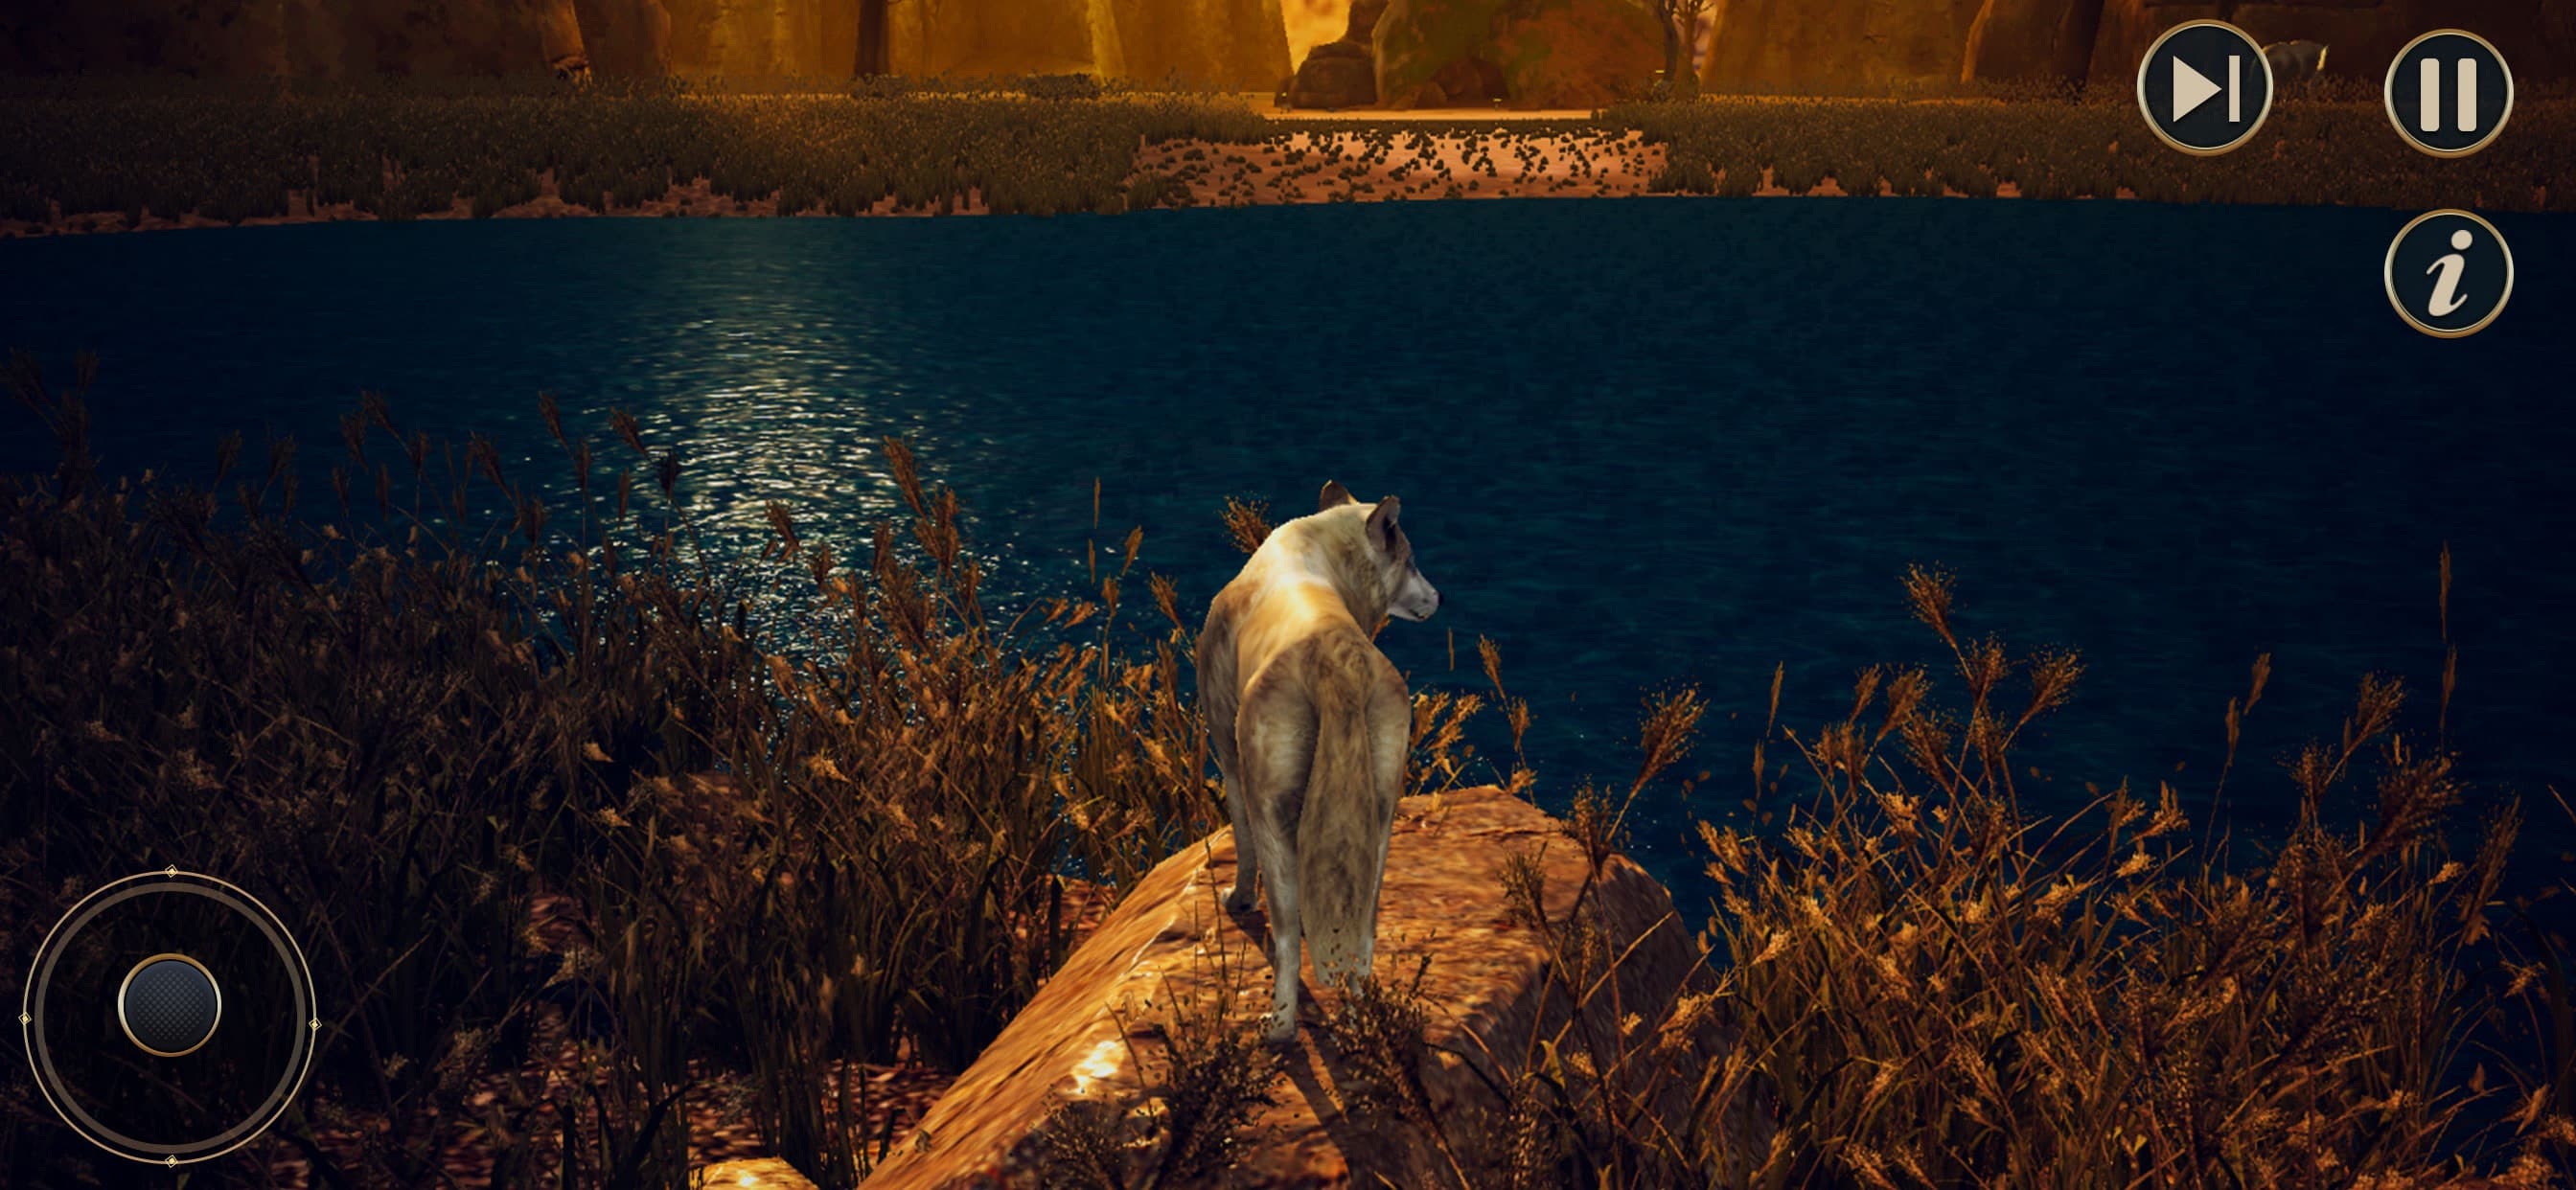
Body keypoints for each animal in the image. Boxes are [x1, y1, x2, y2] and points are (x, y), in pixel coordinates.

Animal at [1197, 481, 1441, 1044]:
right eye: (1413, 560)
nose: (1439, 596)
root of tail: (1337, 665)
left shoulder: (1228, 754)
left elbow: (1239, 836)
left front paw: (1237, 900)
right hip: (1381, 815)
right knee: (1363, 932)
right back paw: (1360, 1027)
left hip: (1274, 809)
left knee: (1287, 936)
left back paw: (1279, 1028)